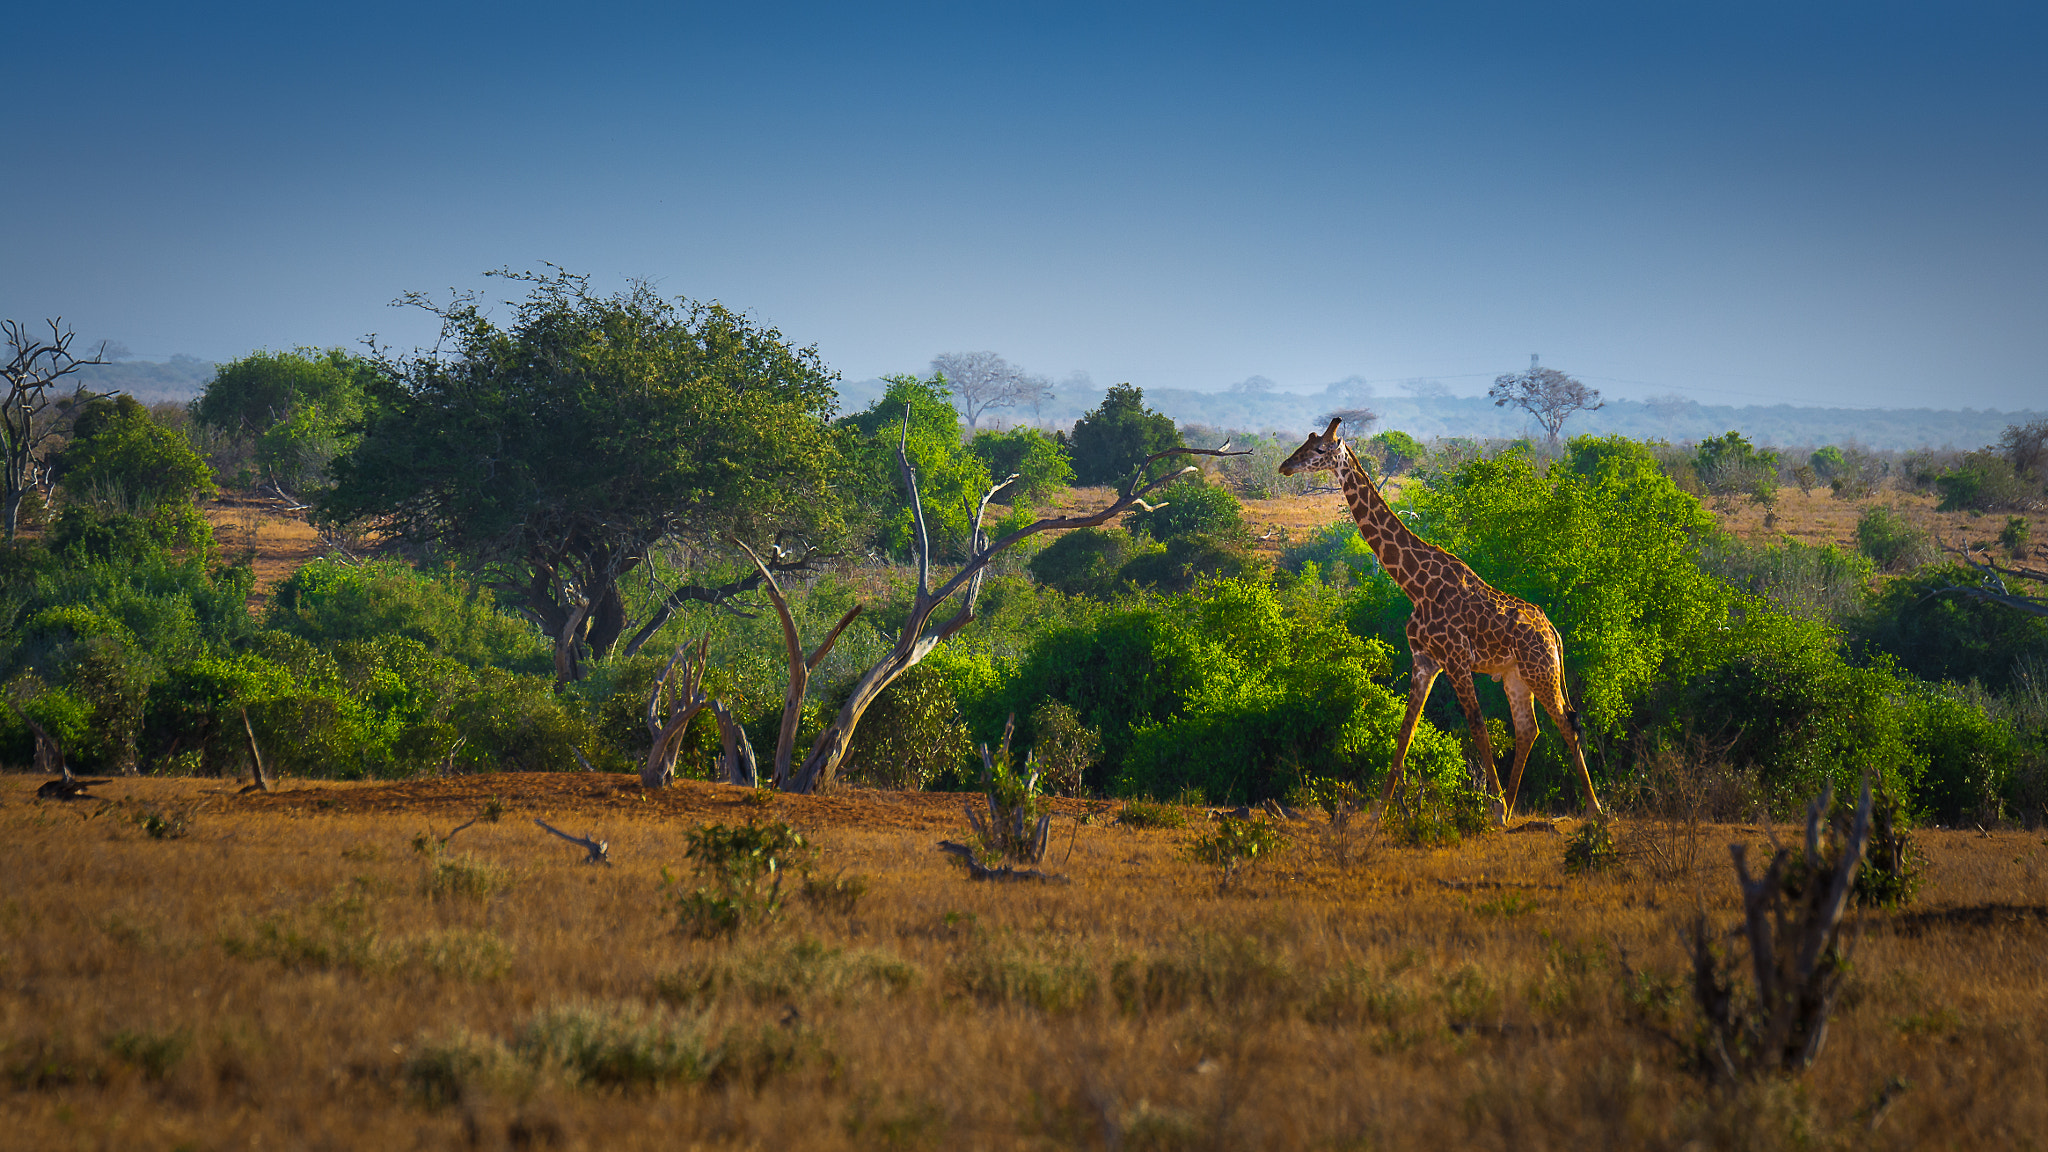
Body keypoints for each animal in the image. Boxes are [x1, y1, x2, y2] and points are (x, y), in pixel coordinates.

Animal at [1277, 416, 1597, 811]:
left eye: (1320, 449)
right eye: (1304, 445)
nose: (1285, 466)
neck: (1414, 585)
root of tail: (1553, 631)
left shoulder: (1456, 659)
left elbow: (1477, 726)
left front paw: (1492, 809)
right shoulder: (1424, 661)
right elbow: (1405, 731)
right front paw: (1377, 813)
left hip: (1541, 669)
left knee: (1566, 722)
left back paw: (1592, 811)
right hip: (1515, 675)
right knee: (1529, 729)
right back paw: (1512, 808)